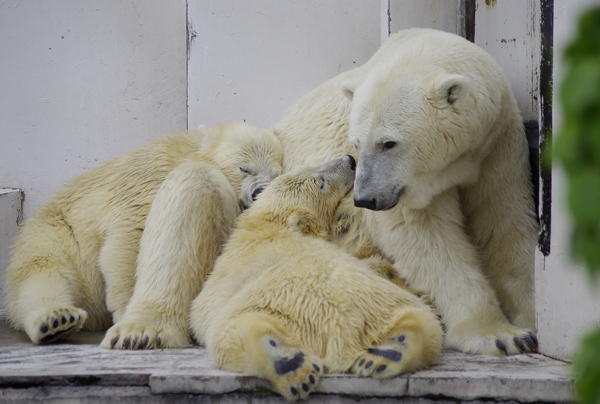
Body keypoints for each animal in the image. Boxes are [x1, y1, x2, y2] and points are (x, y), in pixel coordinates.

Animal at [276, 28, 540, 354]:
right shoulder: (406, 189)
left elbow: (504, 223)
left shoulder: (496, 145)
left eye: (389, 142)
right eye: (357, 142)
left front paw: (529, 323)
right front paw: (498, 334)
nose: (365, 199)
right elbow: (426, 239)